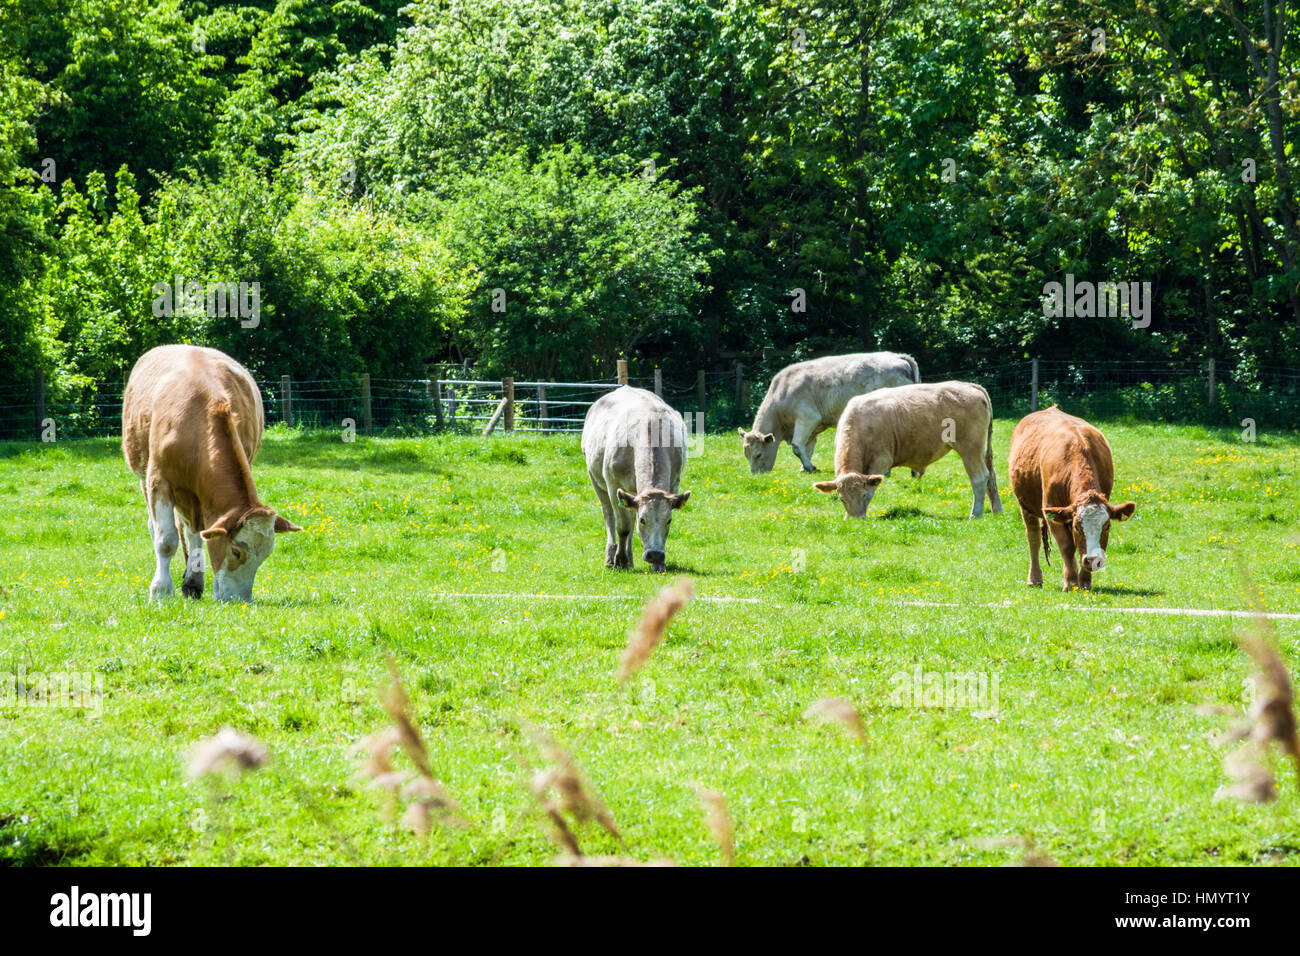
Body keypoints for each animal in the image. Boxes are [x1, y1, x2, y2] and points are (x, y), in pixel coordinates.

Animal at [122, 345, 301, 602]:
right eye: (236, 551)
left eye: (265, 555)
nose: (239, 601)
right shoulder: (159, 479)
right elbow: (166, 540)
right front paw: (160, 590)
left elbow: (200, 532)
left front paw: (189, 582)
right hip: (146, 476)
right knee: (161, 528)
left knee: (193, 530)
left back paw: (193, 581)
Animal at [582, 386, 690, 573]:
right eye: (643, 520)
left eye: (669, 520)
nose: (655, 554)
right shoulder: (613, 484)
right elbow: (623, 526)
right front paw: (620, 560)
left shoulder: (673, 483)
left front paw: (658, 565)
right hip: (596, 480)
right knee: (609, 514)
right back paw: (610, 557)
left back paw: (630, 559)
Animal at [738, 351, 920, 473]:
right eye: (746, 455)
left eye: (758, 455)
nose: (756, 475)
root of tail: (898, 357)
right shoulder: (815, 425)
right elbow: (808, 447)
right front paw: (805, 468)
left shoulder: (807, 418)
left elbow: (797, 447)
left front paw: (809, 467)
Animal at [812, 381, 1001, 519]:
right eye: (841, 499)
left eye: (864, 496)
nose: (856, 520)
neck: (860, 424)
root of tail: (969, 385)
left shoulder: (881, 460)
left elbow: (873, 486)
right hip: (982, 451)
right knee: (991, 476)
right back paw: (997, 509)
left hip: (970, 448)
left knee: (979, 478)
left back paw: (975, 513)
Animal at [1007, 406, 1135, 591]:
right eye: (1077, 527)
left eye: (1107, 526)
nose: (1093, 559)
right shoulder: (1051, 511)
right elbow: (1067, 546)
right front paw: (1070, 581)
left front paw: (1085, 581)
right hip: (1025, 505)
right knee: (1033, 538)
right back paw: (1035, 578)